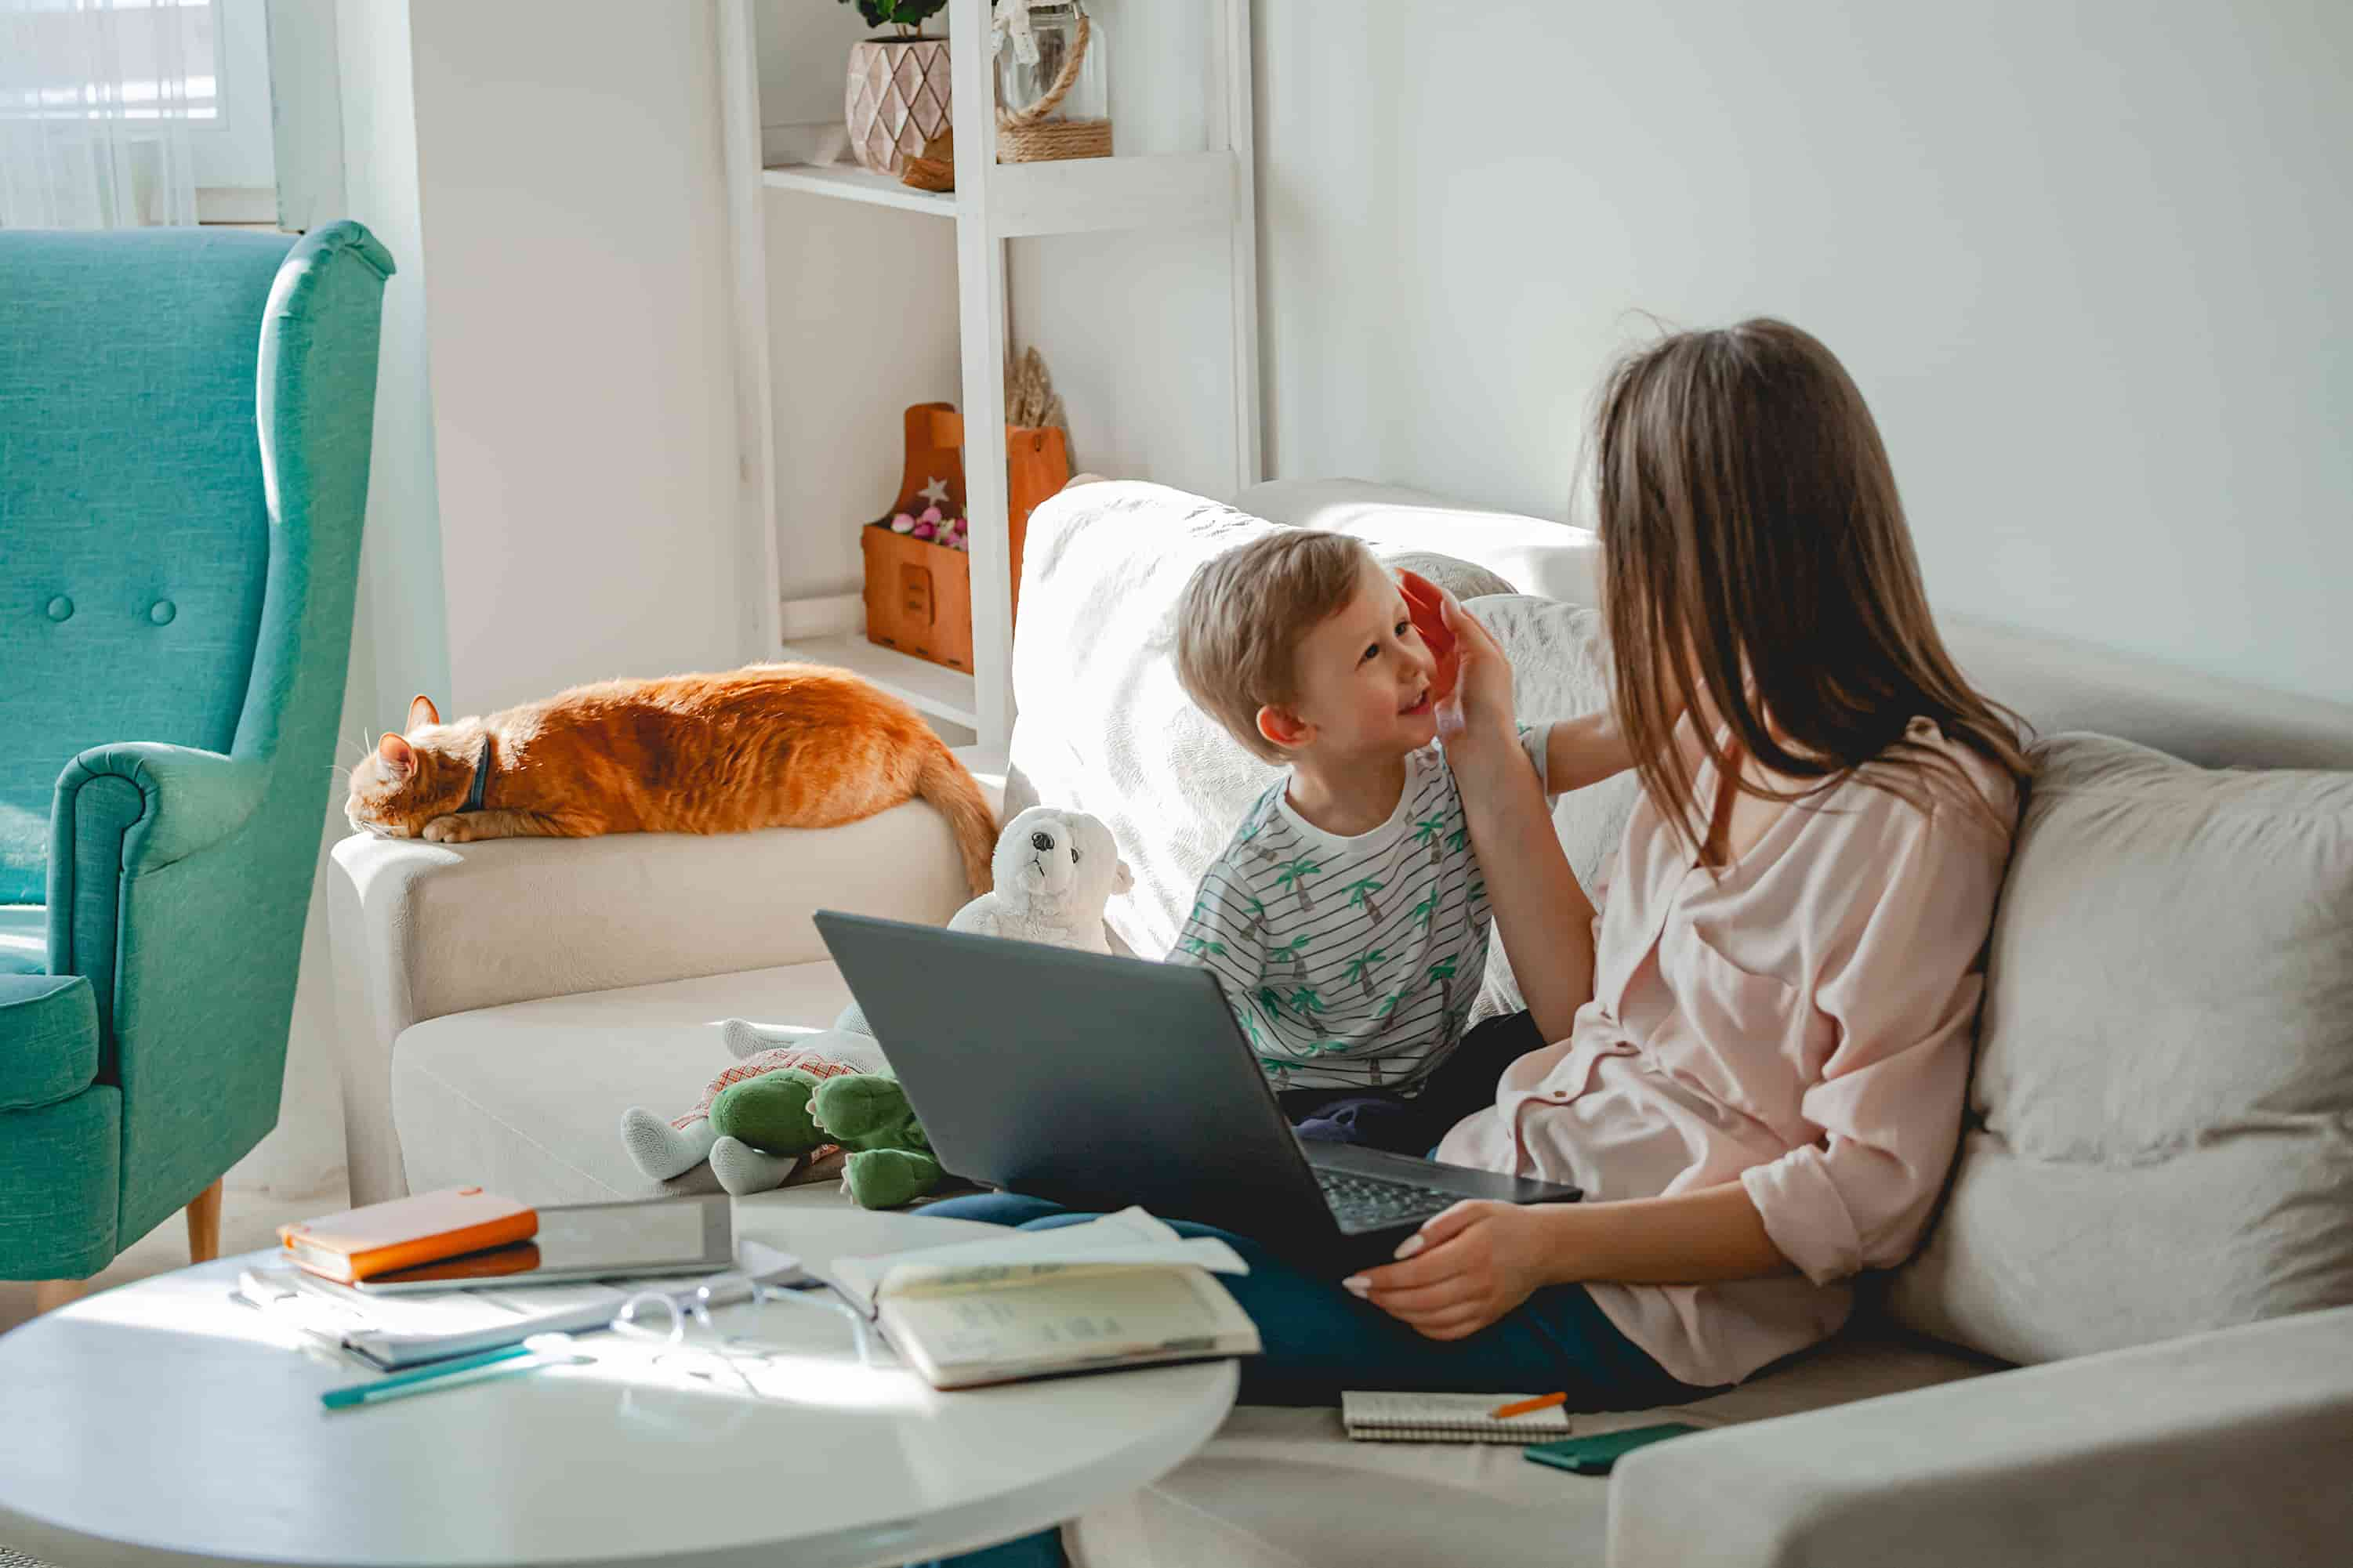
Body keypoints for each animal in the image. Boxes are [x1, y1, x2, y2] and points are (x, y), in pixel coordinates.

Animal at [343, 663, 992, 893]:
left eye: (355, 795)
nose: (345, 814)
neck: (492, 752)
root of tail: (909, 718)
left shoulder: (572, 818)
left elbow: (497, 817)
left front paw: (455, 824)